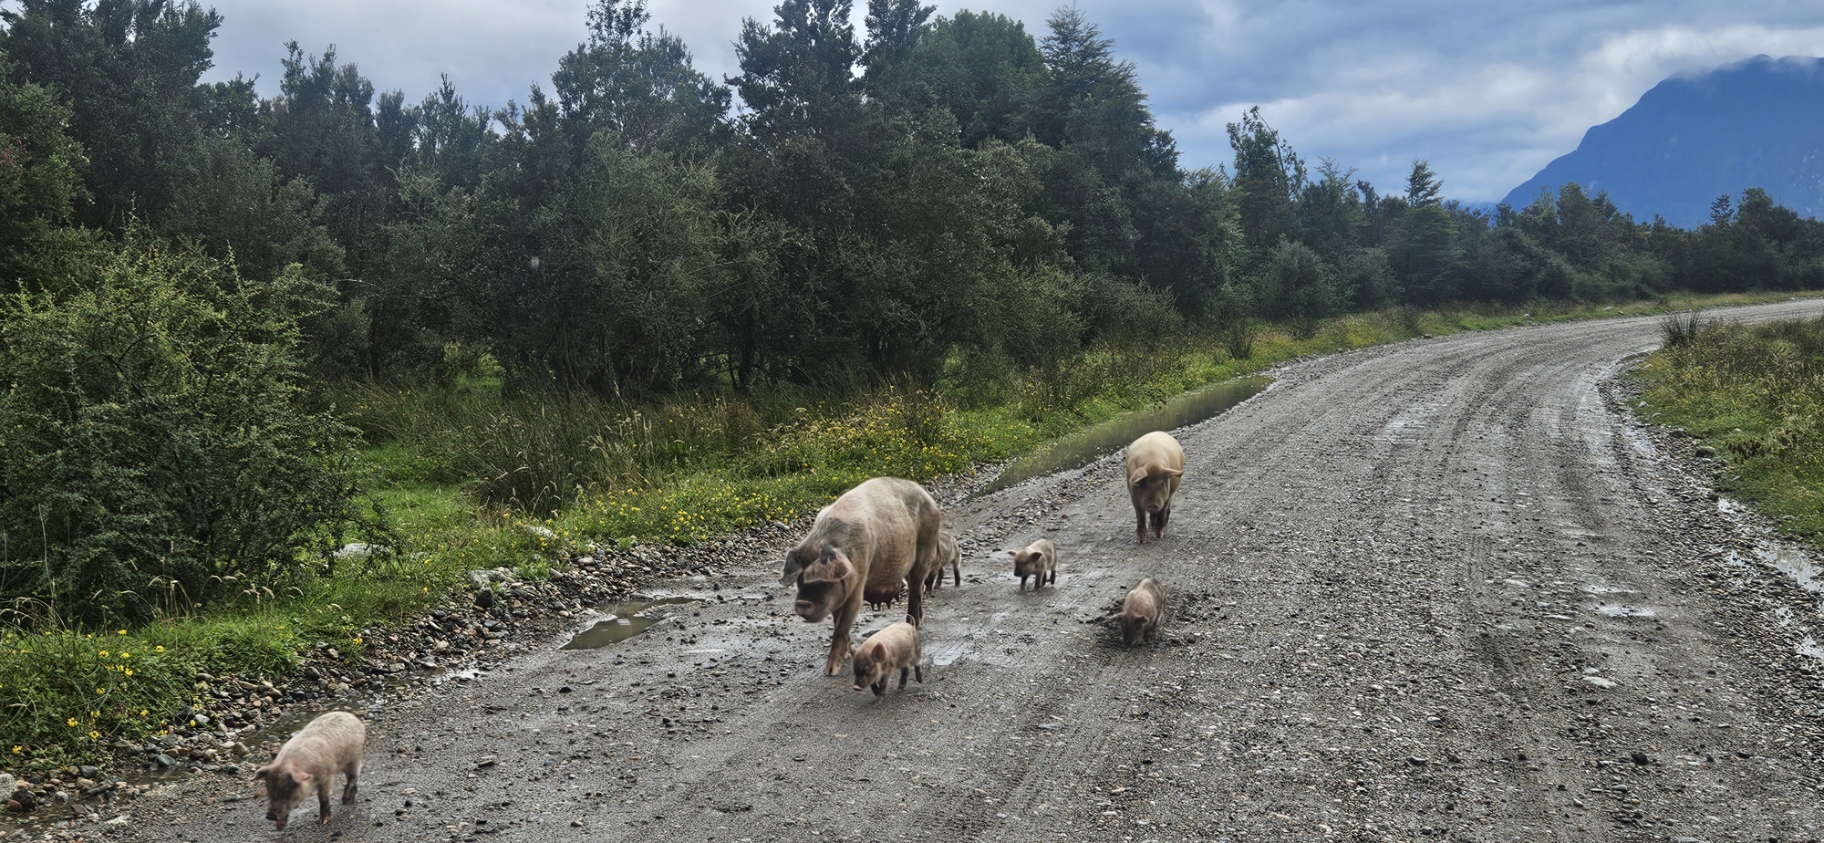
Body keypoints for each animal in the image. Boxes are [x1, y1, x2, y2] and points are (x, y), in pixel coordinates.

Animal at [782, 477, 943, 676]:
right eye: (800, 580)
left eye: (824, 580)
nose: (803, 603)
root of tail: (927, 496)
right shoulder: (838, 596)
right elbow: (837, 622)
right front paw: (843, 656)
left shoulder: (859, 582)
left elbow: (841, 626)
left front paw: (830, 672)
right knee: (917, 590)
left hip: (924, 549)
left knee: (915, 591)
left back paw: (912, 625)